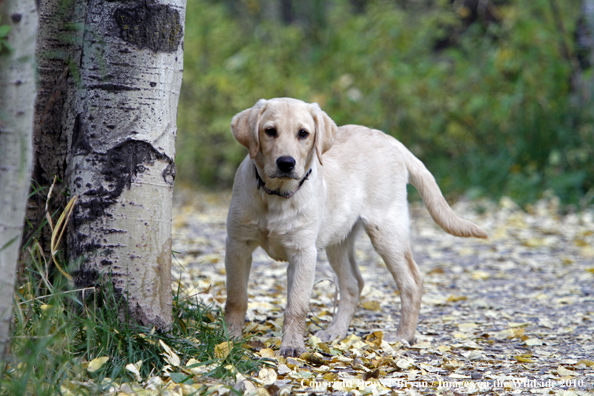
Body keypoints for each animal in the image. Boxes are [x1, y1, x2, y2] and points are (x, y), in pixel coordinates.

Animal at [222, 98, 486, 356]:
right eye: (270, 131)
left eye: (303, 133)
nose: (286, 163)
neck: (276, 195)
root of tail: (391, 140)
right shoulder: (237, 244)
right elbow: (236, 297)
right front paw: (230, 340)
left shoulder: (303, 253)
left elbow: (296, 306)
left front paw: (293, 346)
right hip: (338, 239)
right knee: (353, 284)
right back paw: (336, 331)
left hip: (386, 232)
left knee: (411, 282)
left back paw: (403, 336)